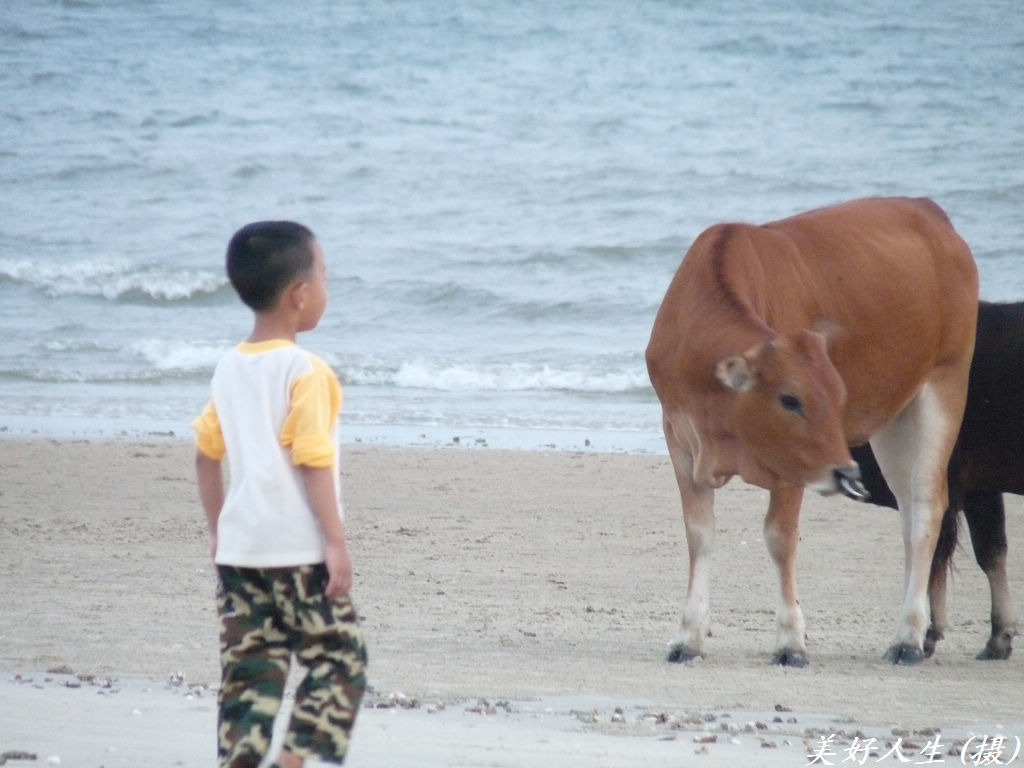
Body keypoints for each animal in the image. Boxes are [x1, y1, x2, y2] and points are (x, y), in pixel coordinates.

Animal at [645, 197, 978, 666]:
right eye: (790, 399)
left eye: (837, 395)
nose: (848, 473)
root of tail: (928, 210)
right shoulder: (679, 442)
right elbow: (700, 536)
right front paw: (688, 638)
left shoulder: (794, 466)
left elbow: (780, 540)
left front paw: (790, 641)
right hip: (894, 420)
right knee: (909, 513)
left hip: (942, 385)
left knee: (926, 510)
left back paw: (909, 638)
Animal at [851, 300, 1023, 661]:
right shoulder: (980, 489)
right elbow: (992, 552)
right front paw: (1000, 636)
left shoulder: (948, 483)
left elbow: (937, 555)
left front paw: (926, 634)